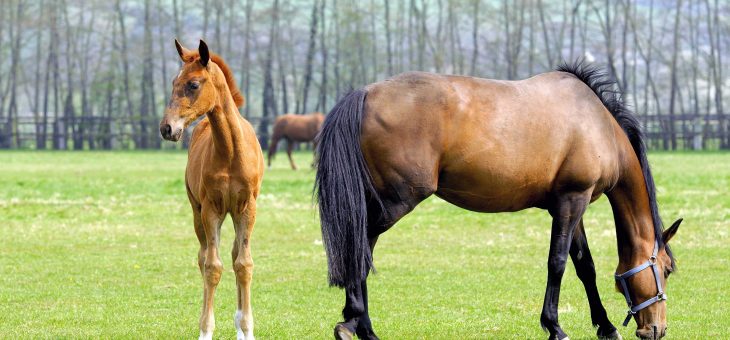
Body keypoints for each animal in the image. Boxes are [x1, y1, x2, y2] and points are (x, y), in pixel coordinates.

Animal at [160, 39, 264, 340]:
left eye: (193, 84)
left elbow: (243, 264)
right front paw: (205, 330)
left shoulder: (247, 208)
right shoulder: (210, 210)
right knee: (203, 256)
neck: (230, 151)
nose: (166, 128)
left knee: (234, 254)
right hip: (197, 213)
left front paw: (246, 328)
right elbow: (212, 267)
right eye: (174, 81)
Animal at [316, 61, 680, 340]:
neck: (597, 124)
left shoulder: (570, 205)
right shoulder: (571, 201)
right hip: (396, 201)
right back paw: (353, 323)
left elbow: (584, 266)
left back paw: (365, 329)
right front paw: (555, 326)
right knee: (358, 250)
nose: (657, 329)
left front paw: (605, 326)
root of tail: (365, 93)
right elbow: (558, 263)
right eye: (667, 269)